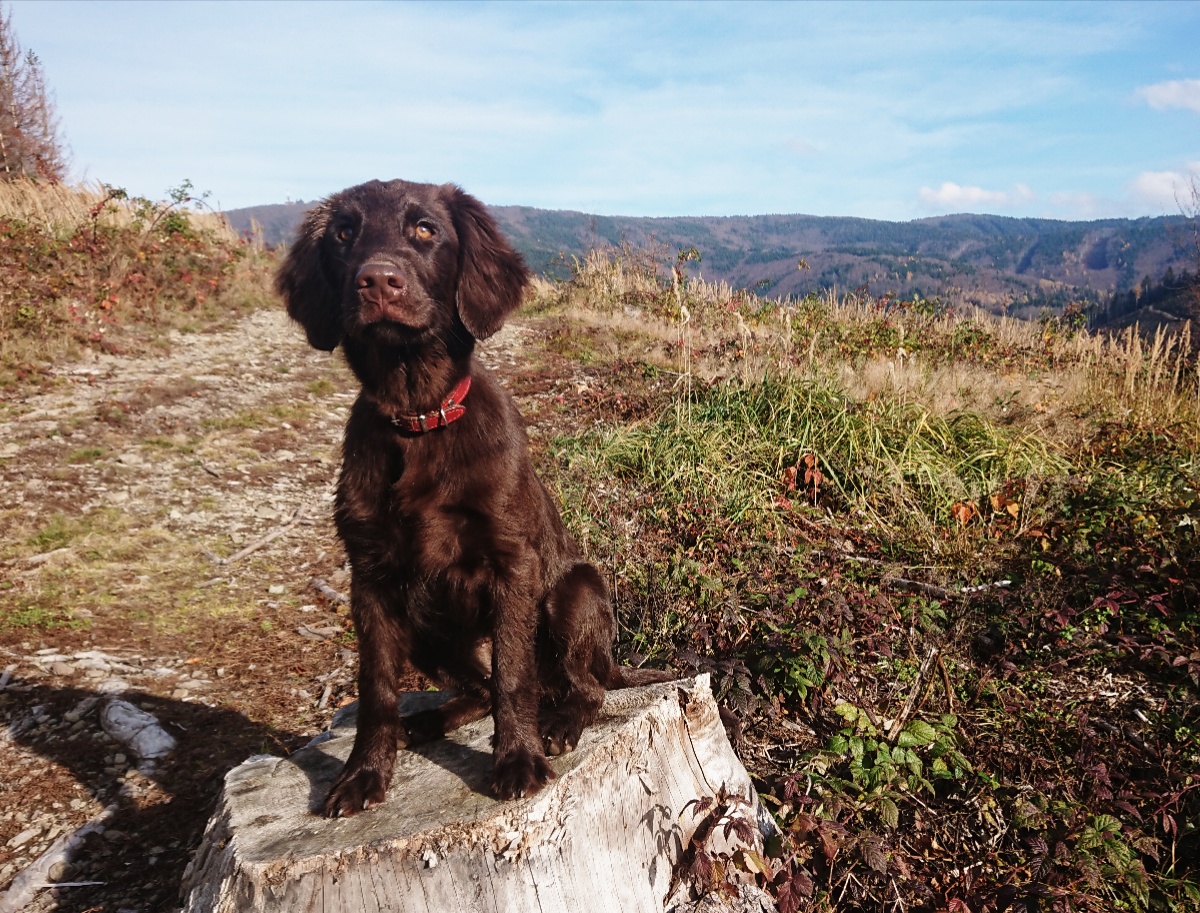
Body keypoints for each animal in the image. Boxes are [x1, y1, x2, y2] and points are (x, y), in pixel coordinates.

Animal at [277, 179, 669, 816]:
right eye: (343, 234)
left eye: (425, 230)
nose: (377, 281)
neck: (419, 418)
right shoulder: (371, 579)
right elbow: (377, 688)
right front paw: (362, 775)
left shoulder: (512, 562)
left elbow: (513, 673)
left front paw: (518, 759)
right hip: (424, 628)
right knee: (480, 689)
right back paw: (426, 722)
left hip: (573, 592)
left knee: (581, 687)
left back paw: (558, 723)